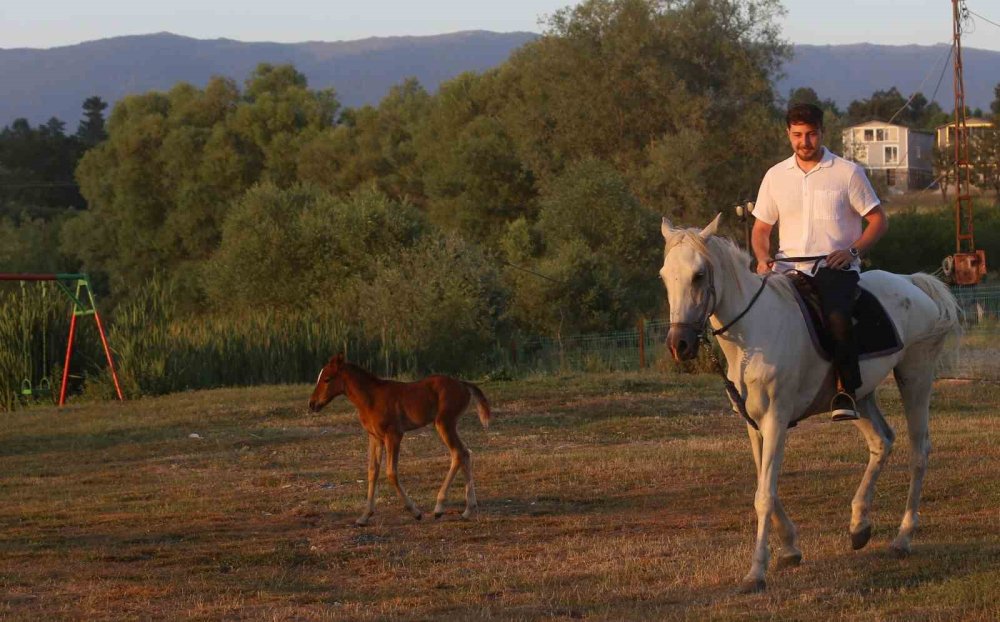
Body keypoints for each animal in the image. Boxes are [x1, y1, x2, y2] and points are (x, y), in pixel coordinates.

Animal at [306, 356, 490, 528]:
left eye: (327, 379)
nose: (312, 404)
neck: (371, 398)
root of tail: (463, 384)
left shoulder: (394, 434)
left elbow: (391, 472)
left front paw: (415, 512)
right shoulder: (375, 437)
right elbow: (372, 471)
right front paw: (364, 517)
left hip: (444, 423)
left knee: (458, 453)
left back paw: (439, 508)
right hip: (447, 424)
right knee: (465, 453)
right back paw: (467, 510)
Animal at [660, 214, 964, 596]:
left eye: (699, 275)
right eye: (664, 276)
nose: (680, 344)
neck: (753, 334)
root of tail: (914, 283)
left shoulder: (776, 420)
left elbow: (764, 494)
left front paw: (756, 573)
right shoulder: (754, 425)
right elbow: (767, 487)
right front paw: (790, 549)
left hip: (916, 376)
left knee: (918, 451)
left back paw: (903, 538)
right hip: (858, 396)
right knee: (882, 442)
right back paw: (859, 526)